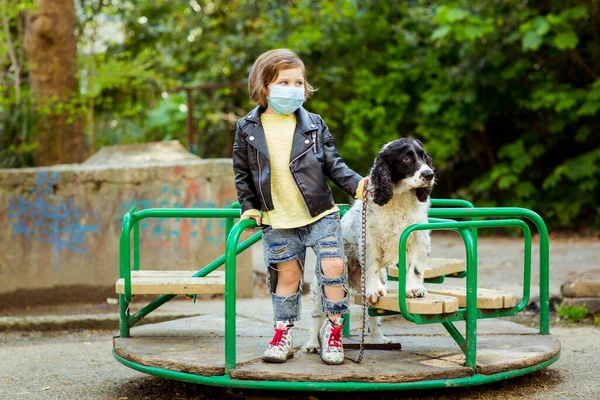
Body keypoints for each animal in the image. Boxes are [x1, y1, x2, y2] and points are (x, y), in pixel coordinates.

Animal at [308, 137, 434, 346]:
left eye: (424, 156)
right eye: (406, 158)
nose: (429, 174)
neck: (399, 199)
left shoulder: (417, 236)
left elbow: (414, 267)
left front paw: (415, 289)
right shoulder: (369, 239)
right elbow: (371, 265)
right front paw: (374, 290)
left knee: (373, 317)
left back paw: (379, 338)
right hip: (322, 284)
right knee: (318, 315)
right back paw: (312, 344)